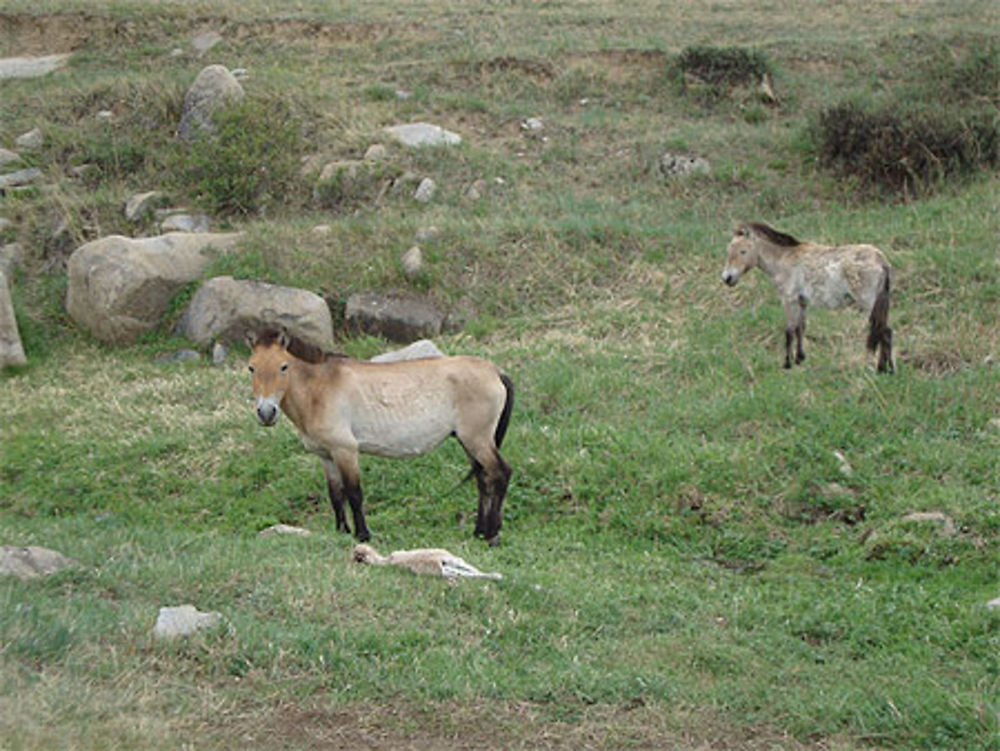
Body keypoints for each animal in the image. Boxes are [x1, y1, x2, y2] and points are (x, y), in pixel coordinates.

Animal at [247, 328, 516, 548]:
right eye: (251, 367)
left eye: (284, 366)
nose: (266, 413)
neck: (320, 388)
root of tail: (495, 371)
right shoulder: (326, 456)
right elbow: (336, 496)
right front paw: (342, 532)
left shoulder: (345, 451)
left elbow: (354, 493)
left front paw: (362, 535)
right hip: (469, 441)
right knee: (483, 479)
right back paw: (479, 532)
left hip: (477, 440)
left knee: (500, 473)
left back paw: (492, 534)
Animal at [724, 223, 896, 376]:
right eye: (728, 251)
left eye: (743, 251)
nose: (727, 278)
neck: (784, 259)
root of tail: (881, 261)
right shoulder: (802, 302)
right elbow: (800, 328)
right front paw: (800, 359)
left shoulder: (789, 300)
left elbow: (789, 331)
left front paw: (787, 364)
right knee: (885, 332)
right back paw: (887, 369)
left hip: (869, 304)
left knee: (883, 331)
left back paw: (884, 369)